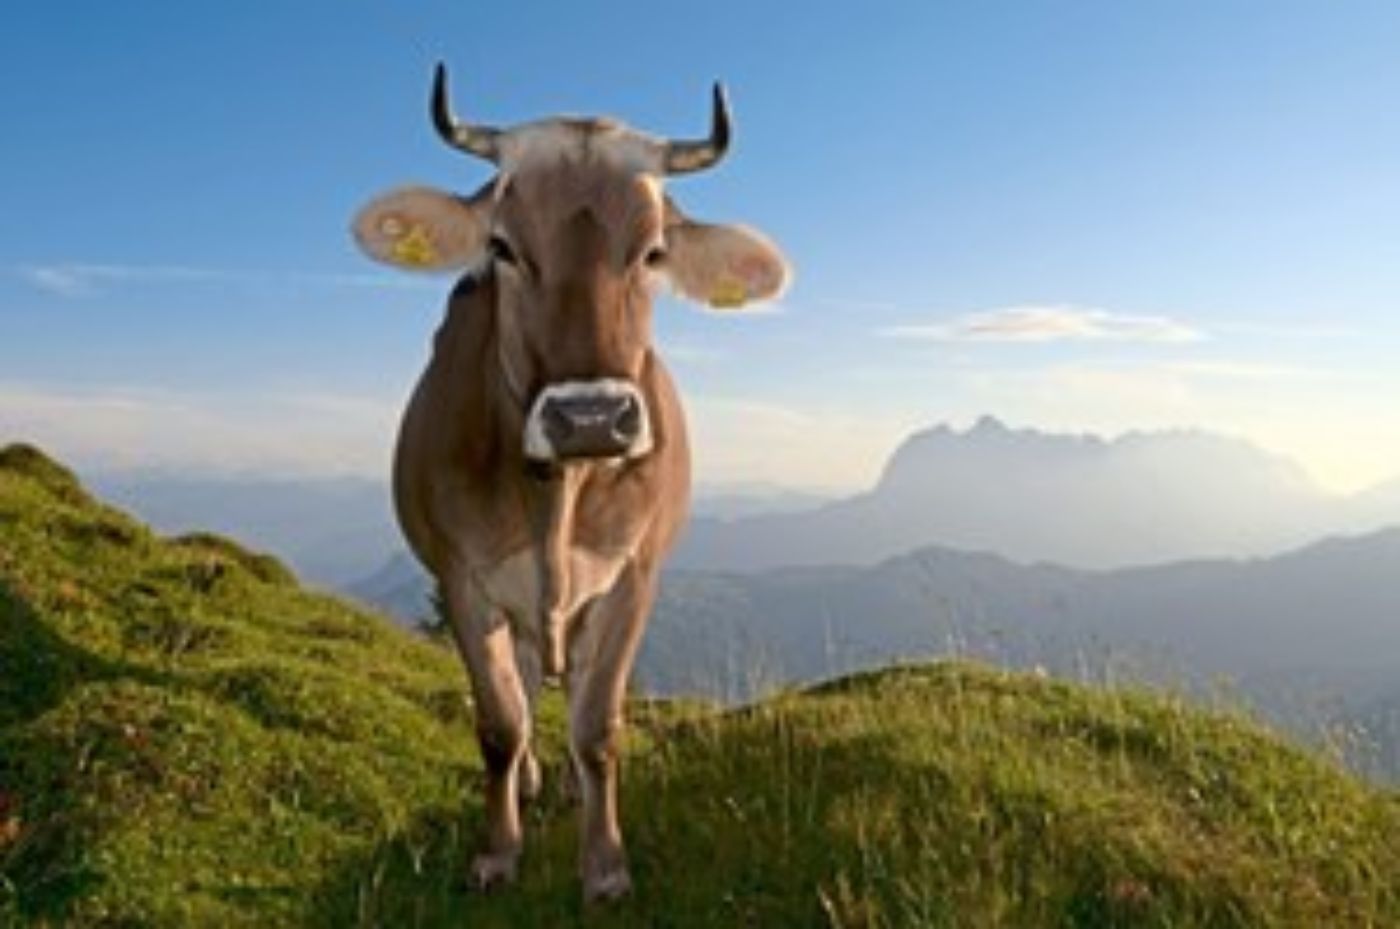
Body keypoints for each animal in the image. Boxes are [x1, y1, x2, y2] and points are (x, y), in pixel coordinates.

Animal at [350, 64, 790, 901]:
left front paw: (606, 861)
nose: (591, 416)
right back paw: (526, 780)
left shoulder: (633, 575)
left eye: (654, 251)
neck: (558, 491)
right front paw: (497, 851)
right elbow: (498, 720)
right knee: (523, 686)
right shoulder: (462, 578)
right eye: (501, 246)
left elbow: (597, 726)